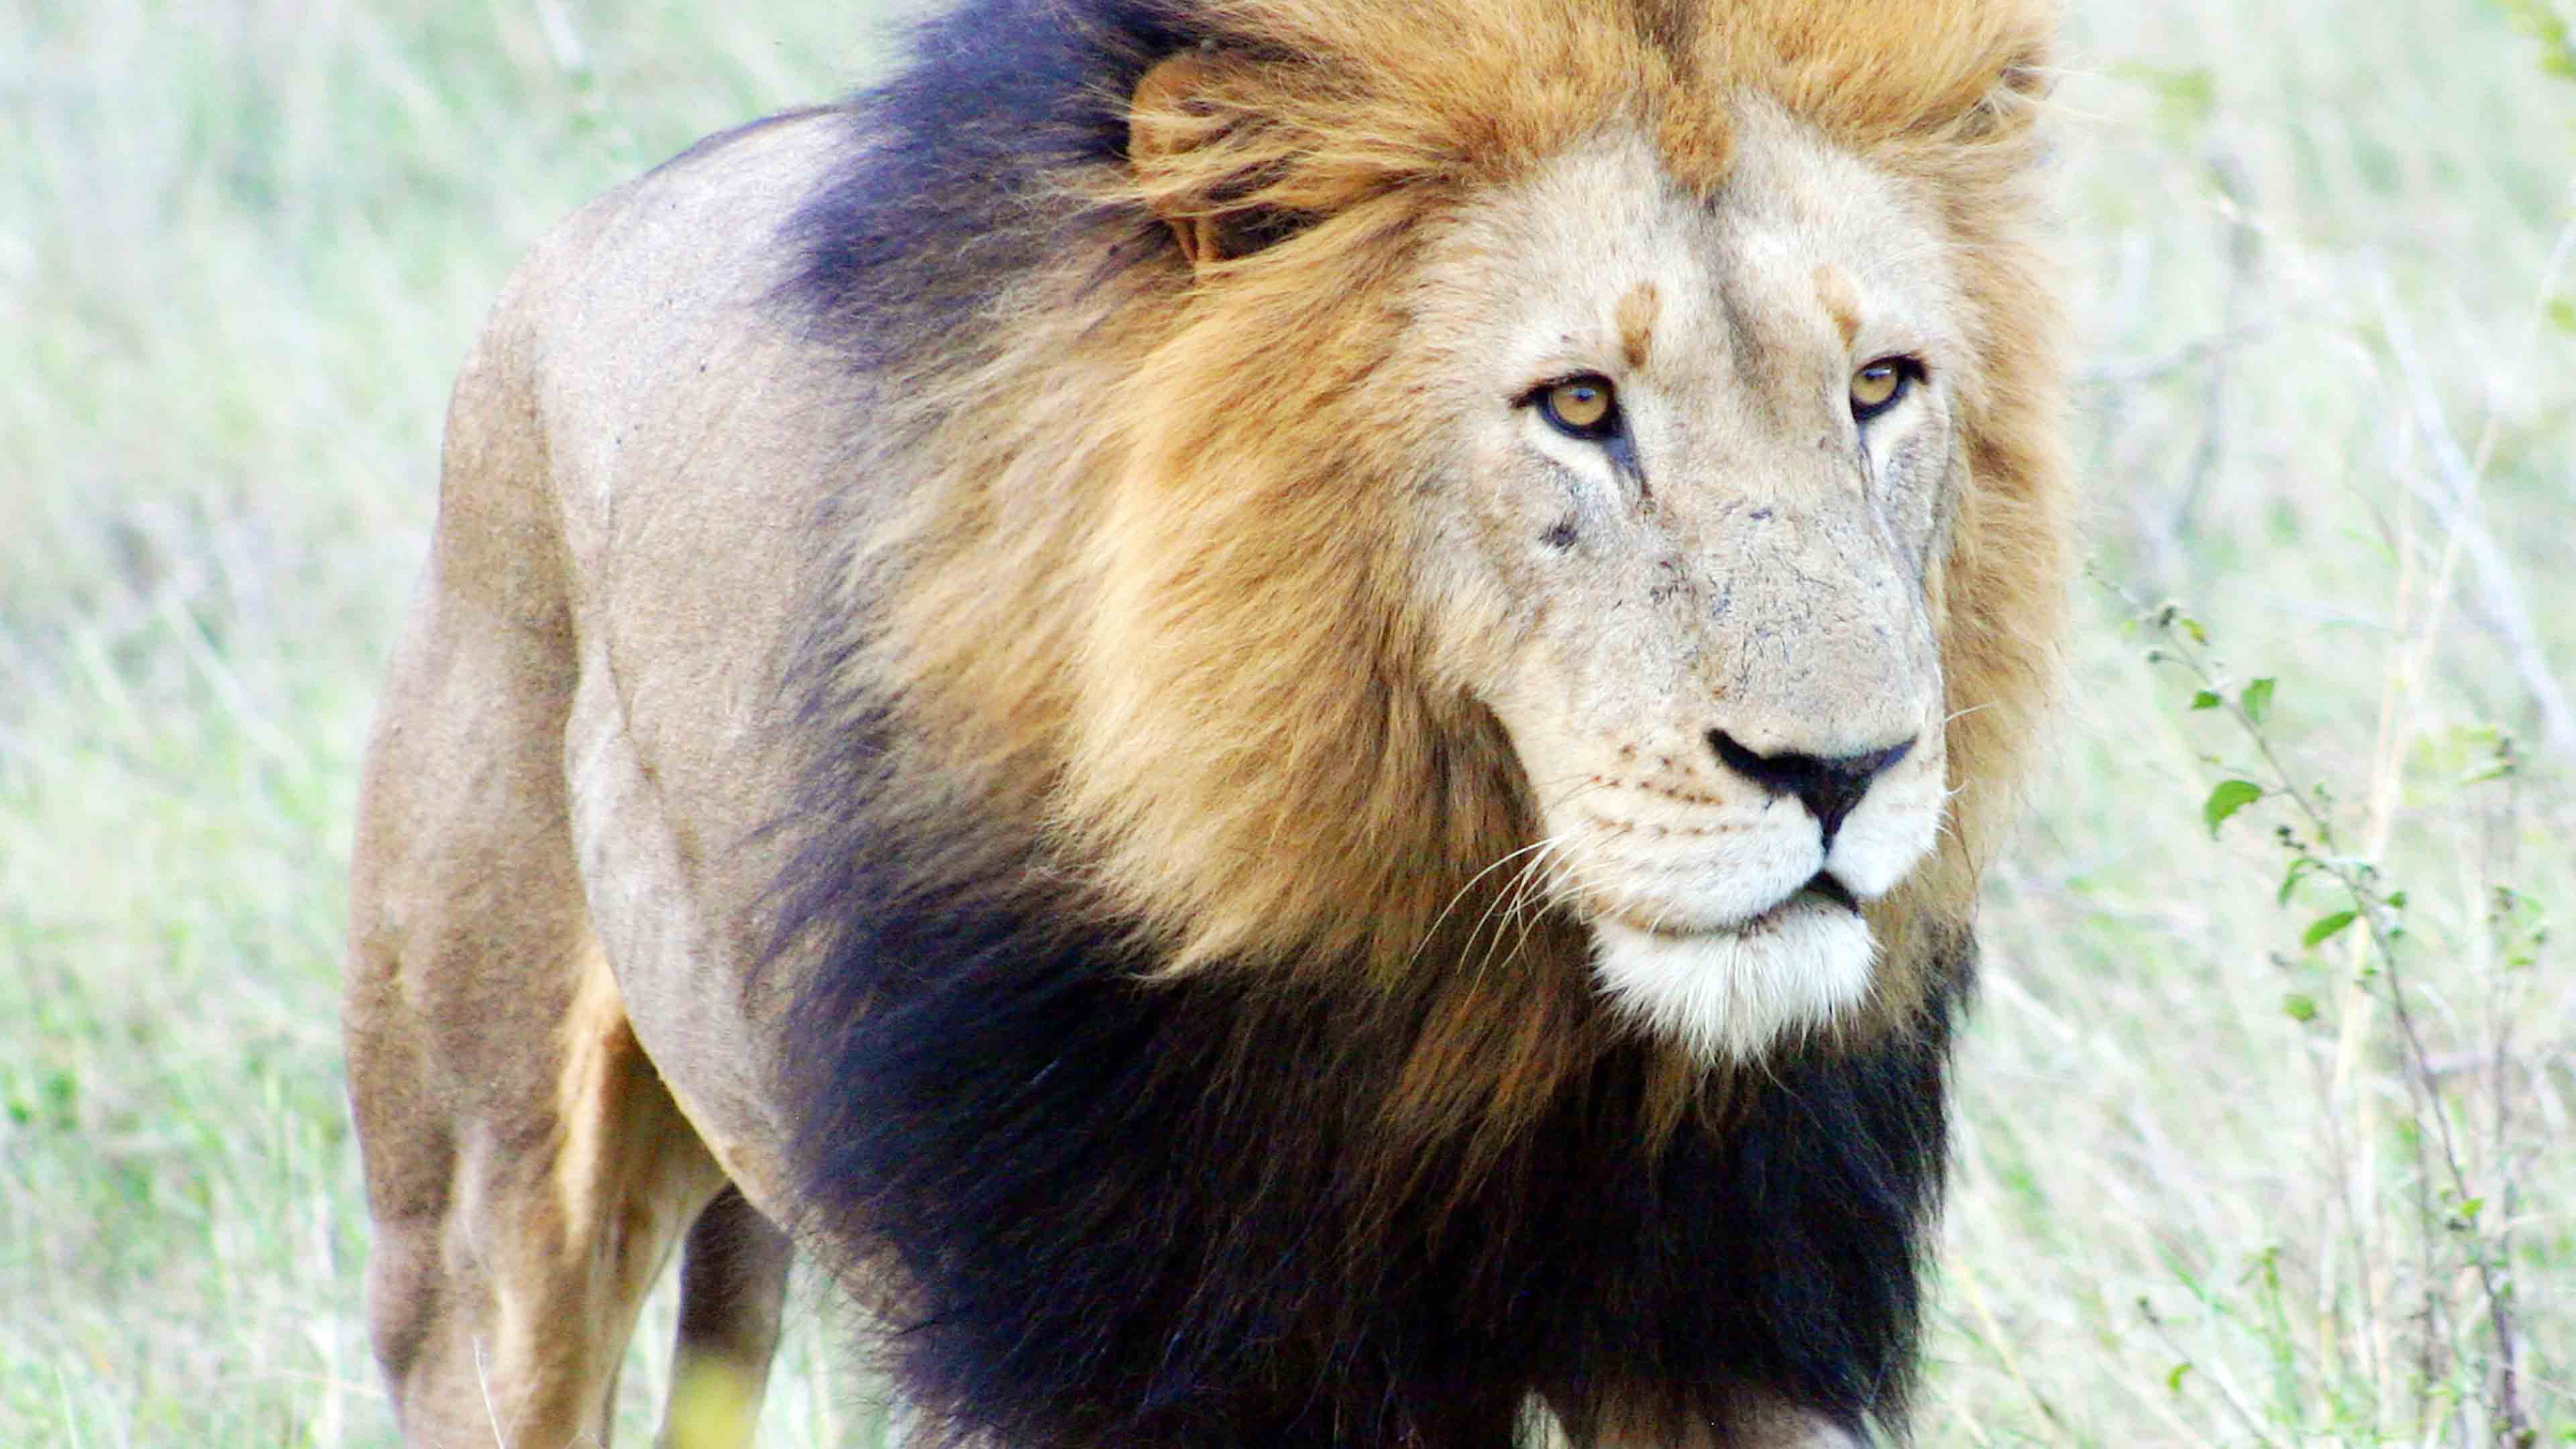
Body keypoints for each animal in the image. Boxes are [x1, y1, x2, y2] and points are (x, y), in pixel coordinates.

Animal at [343, 0, 2070, 1444]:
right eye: (1579, 406)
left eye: (1877, 386)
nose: (1839, 773)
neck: (1445, 949)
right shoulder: (1102, 1345)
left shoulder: (1725, 1321)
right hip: (484, 1217)